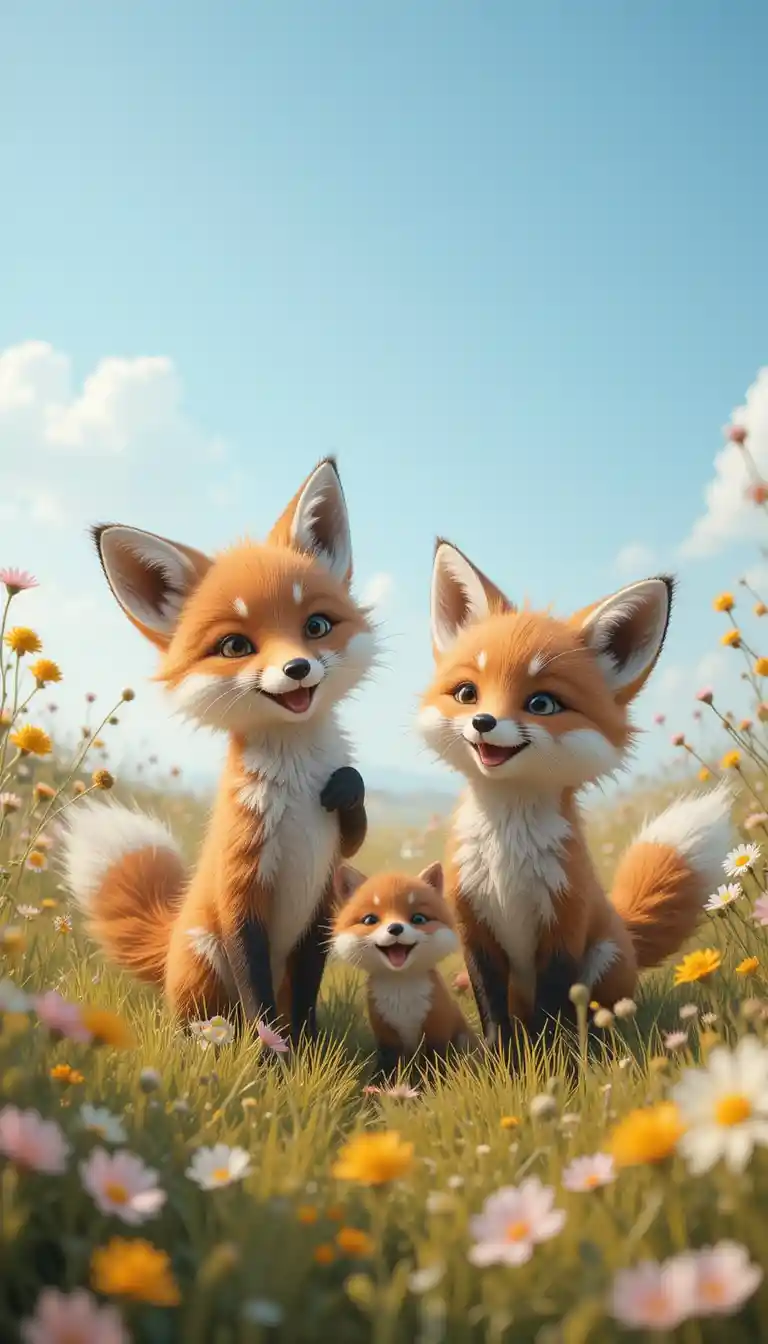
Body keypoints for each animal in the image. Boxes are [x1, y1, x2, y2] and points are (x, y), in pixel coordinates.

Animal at [59, 459, 378, 1043]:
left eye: (316, 626)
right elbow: (258, 998)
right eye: (235, 646)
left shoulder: (323, 894)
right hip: (203, 957)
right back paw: (208, 1042)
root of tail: (169, 938)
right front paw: (272, 1053)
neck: (296, 775)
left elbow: (304, 995)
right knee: (203, 1018)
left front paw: (306, 1050)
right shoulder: (241, 884)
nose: (297, 668)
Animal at [332, 862, 475, 1078]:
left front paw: (434, 1084)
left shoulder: (437, 1030)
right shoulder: (386, 1037)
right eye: (370, 920)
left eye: (418, 918)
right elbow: (388, 1069)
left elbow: (434, 1066)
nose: (395, 928)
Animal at [417, 540, 733, 1054]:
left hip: (602, 960)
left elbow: (552, 1012)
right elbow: (492, 1012)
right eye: (467, 693)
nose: (483, 722)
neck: (507, 854)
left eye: (542, 704)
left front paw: (551, 1060)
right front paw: (499, 1058)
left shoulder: (562, 925)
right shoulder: (473, 927)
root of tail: (625, 929)